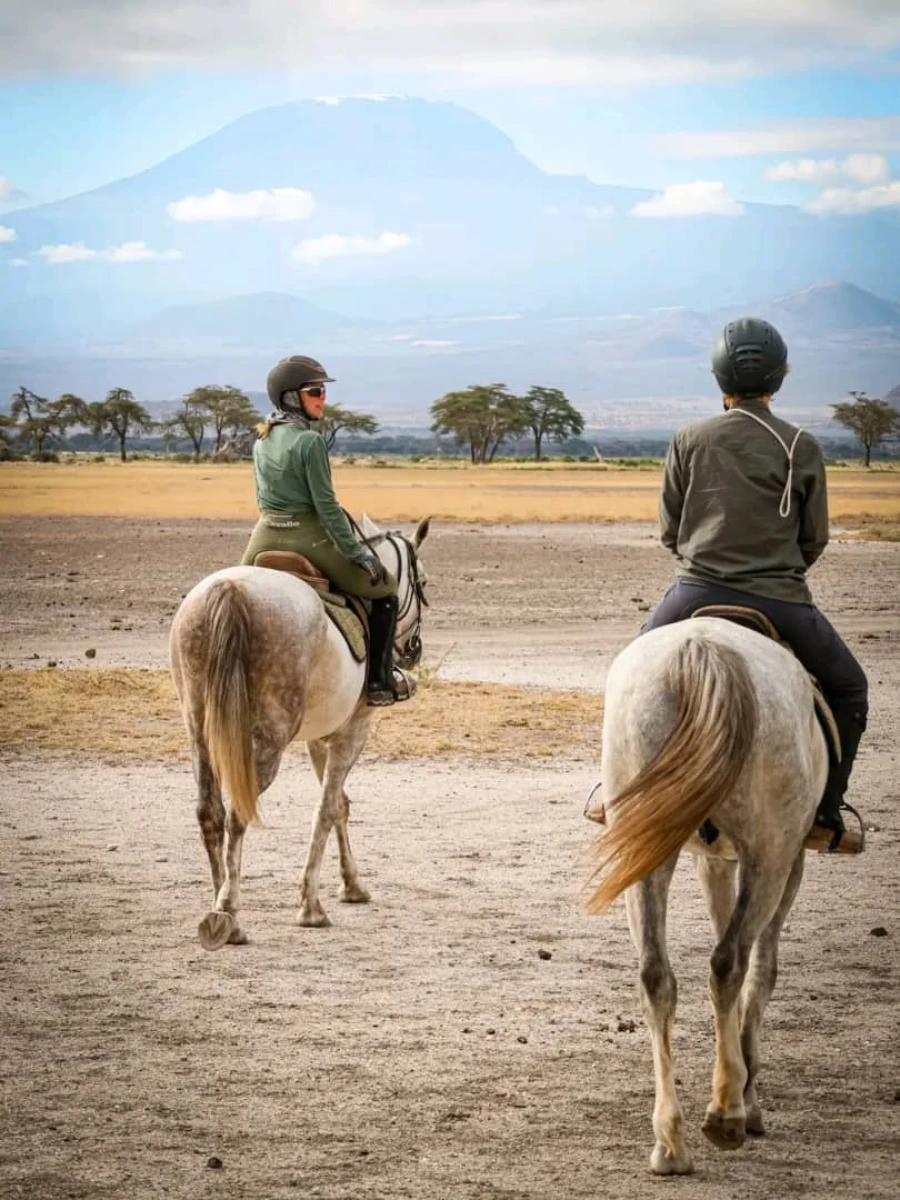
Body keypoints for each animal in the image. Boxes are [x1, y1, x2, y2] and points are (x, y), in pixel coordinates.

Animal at [169, 514, 430, 950]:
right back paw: (229, 910)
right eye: (423, 583)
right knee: (238, 813)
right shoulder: (353, 731)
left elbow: (339, 804)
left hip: (199, 733)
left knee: (210, 813)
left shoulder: (318, 737)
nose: (413, 649)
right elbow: (326, 810)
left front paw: (351, 886)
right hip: (266, 742)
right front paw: (311, 906)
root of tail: (230, 590)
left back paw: (220, 906)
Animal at [586, 616, 829, 1176]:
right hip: (770, 854)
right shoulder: (790, 861)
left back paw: (670, 1142)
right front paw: (749, 1092)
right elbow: (761, 970)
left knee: (656, 976)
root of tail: (702, 650)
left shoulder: (712, 858)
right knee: (730, 962)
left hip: (647, 849)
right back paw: (727, 1112)